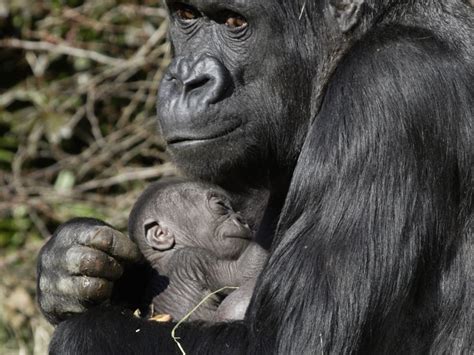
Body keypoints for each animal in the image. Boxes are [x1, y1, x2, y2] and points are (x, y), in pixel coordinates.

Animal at [129, 179, 266, 322]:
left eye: (237, 211)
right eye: (221, 205)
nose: (242, 220)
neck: (164, 255)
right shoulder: (192, 259)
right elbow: (241, 273)